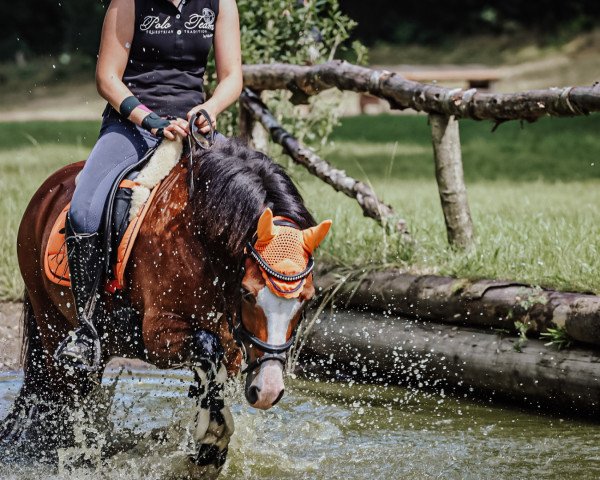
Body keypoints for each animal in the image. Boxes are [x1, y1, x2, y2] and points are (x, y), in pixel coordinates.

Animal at [0, 136, 332, 472]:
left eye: (307, 298)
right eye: (249, 294)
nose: (267, 391)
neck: (199, 237)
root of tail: (47, 191)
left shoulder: (231, 345)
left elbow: (213, 371)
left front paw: (207, 445)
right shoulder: (158, 337)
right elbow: (206, 347)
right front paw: (212, 438)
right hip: (52, 325)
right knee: (66, 396)